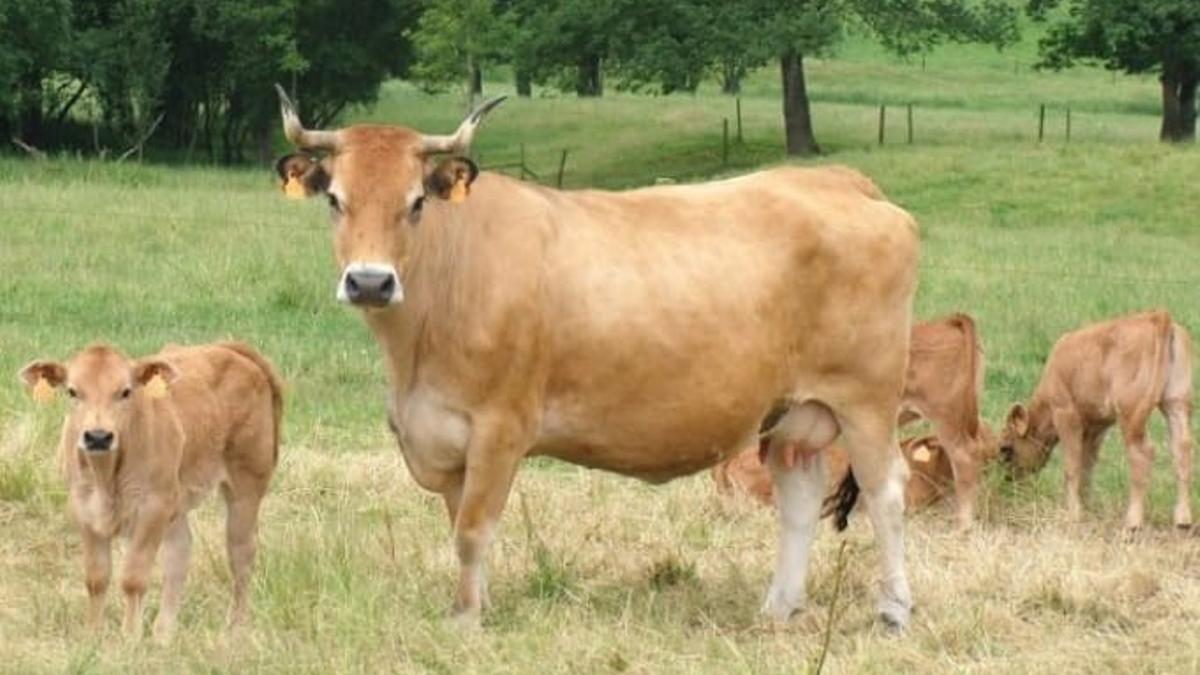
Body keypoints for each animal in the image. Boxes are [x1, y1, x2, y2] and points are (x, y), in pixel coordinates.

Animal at [18, 342, 282, 639]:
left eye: (125, 391)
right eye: (73, 391)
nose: (98, 437)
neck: (106, 478)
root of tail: (228, 348)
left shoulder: (152, 509)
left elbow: (133, 578)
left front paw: (129, 637)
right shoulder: (84, 509)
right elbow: (97, 578)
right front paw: (93, 635)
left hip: (246, 486)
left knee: (241, 554)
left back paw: (235, 627)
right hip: (176, 502)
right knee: (179, 554)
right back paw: (163, 634)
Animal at [271, 86, 919, 629]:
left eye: (415, 204)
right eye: (335, 199)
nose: (370, 282)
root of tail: (837, 180)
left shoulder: (500, 428)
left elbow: (474, 530)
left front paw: (467, 621)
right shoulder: (446, 435)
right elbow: (460, 525)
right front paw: (477, 605)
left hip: (866, 398)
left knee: (886, 490)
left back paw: (894, 610)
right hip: (792, 411)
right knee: (799, 499)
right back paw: (780, 607)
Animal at [1000, 310, 1194, 532]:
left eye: (1006, 447)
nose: (1008, 480)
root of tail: (1157, 316)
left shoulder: (1066, 415)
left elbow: (1072, 467)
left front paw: (1073, 514)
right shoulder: (1097, 425)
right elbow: (1087, 465)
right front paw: (1087, 508)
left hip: (1131, 413)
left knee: (1141, 453)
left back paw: (1133, 522)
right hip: (1176, 403)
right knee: (1181, 449)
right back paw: (1183, 520)